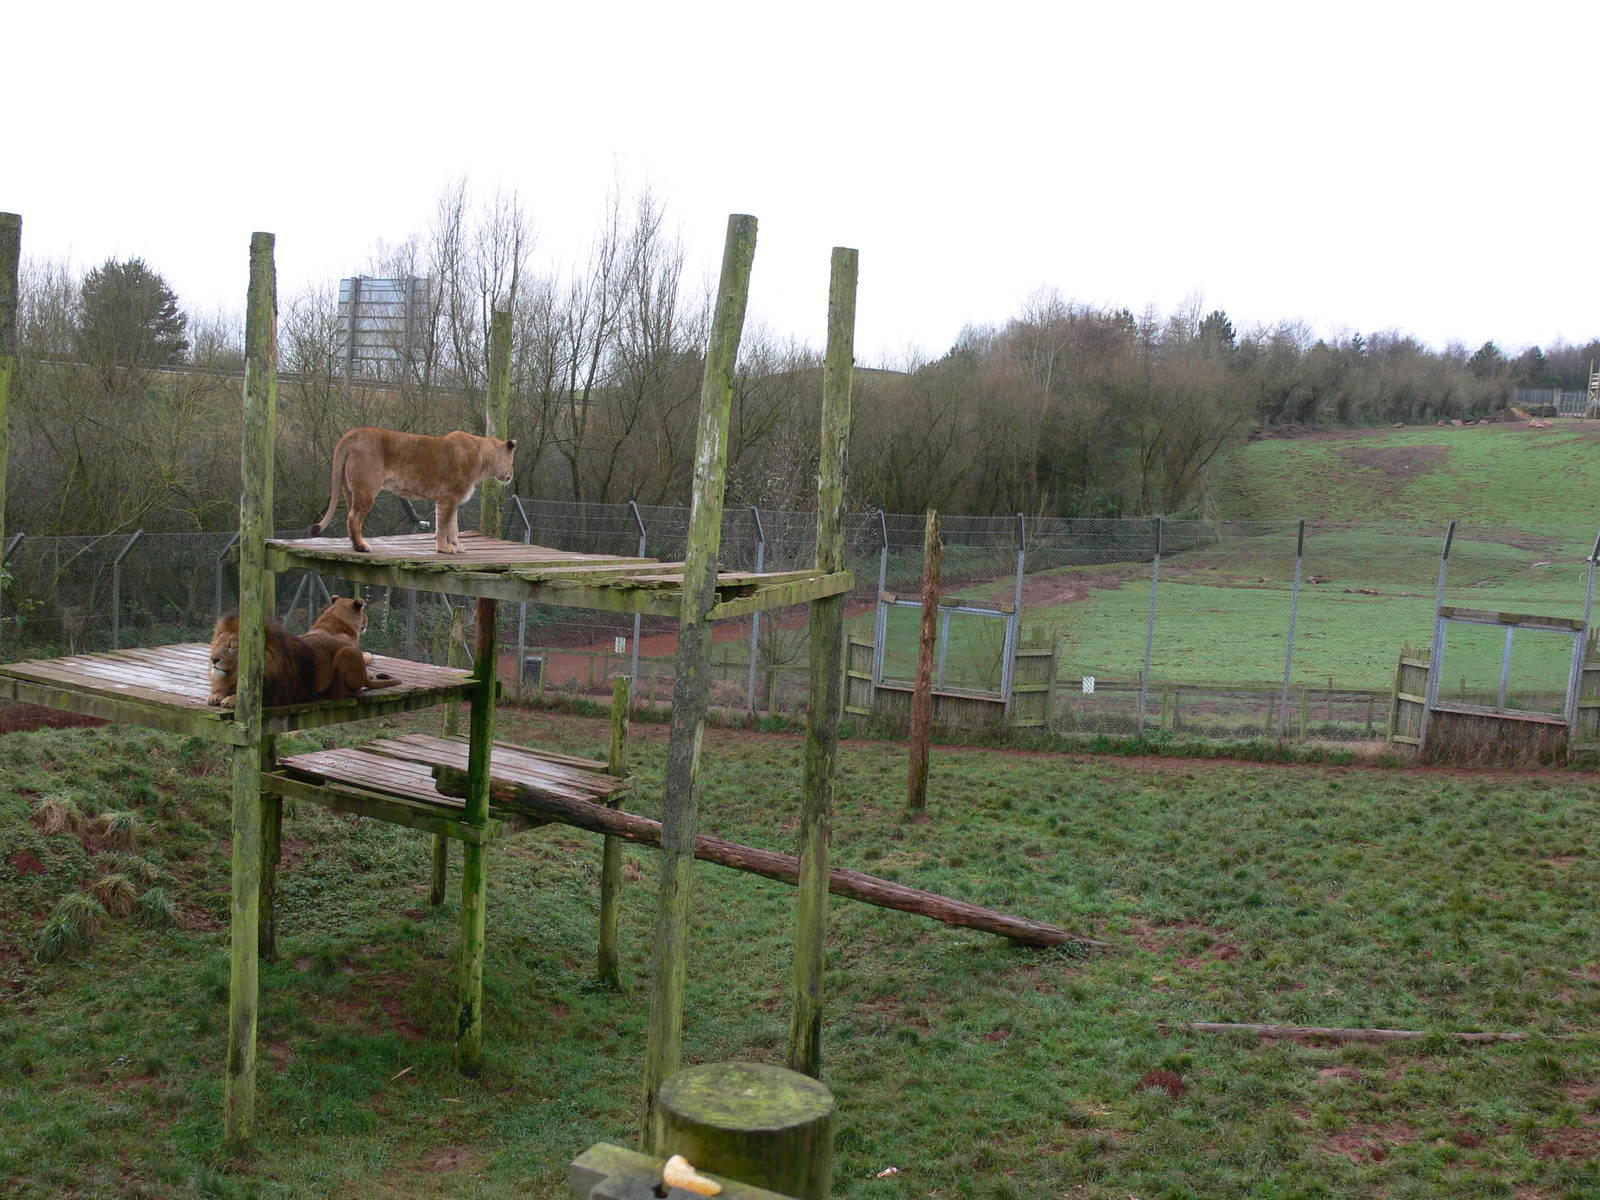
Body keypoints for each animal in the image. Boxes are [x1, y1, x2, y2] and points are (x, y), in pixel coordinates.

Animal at [207, 596, 401, 708]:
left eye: (231, 647)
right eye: (217, 644)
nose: (213, 659)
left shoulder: (277, 693)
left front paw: (230, 699)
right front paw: (216, 695)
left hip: (346, 653)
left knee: (347, 690)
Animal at [307, 428, 517, 555]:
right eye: (512, 461)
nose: (511, 475)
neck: (483, 458)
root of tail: (351, 434)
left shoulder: (452, 499)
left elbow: (453, 526)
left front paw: (457, 546)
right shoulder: (447, 497)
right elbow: (444, 526)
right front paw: (444, 548)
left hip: (350, 490)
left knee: (350, 516)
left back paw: (355, 545)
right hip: (367, 488)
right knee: (354, 517)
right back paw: (362, 547)